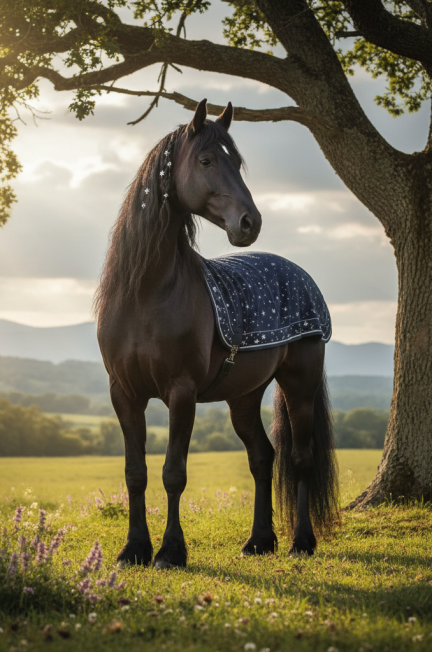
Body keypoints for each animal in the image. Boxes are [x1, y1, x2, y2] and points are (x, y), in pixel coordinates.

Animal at [95, 99, 339, 569]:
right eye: (206, 160)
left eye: (238, 163)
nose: (250, 222)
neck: (146, 292)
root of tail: (302, 276)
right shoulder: (124, 393)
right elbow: (136, 474)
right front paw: (133, 549)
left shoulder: (181, 392)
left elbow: (173, 473)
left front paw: (170, 552)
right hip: (244, 396)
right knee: (262, 456)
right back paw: (259, 541)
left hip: (298, 385)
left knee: (300, 458)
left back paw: (301, 541)